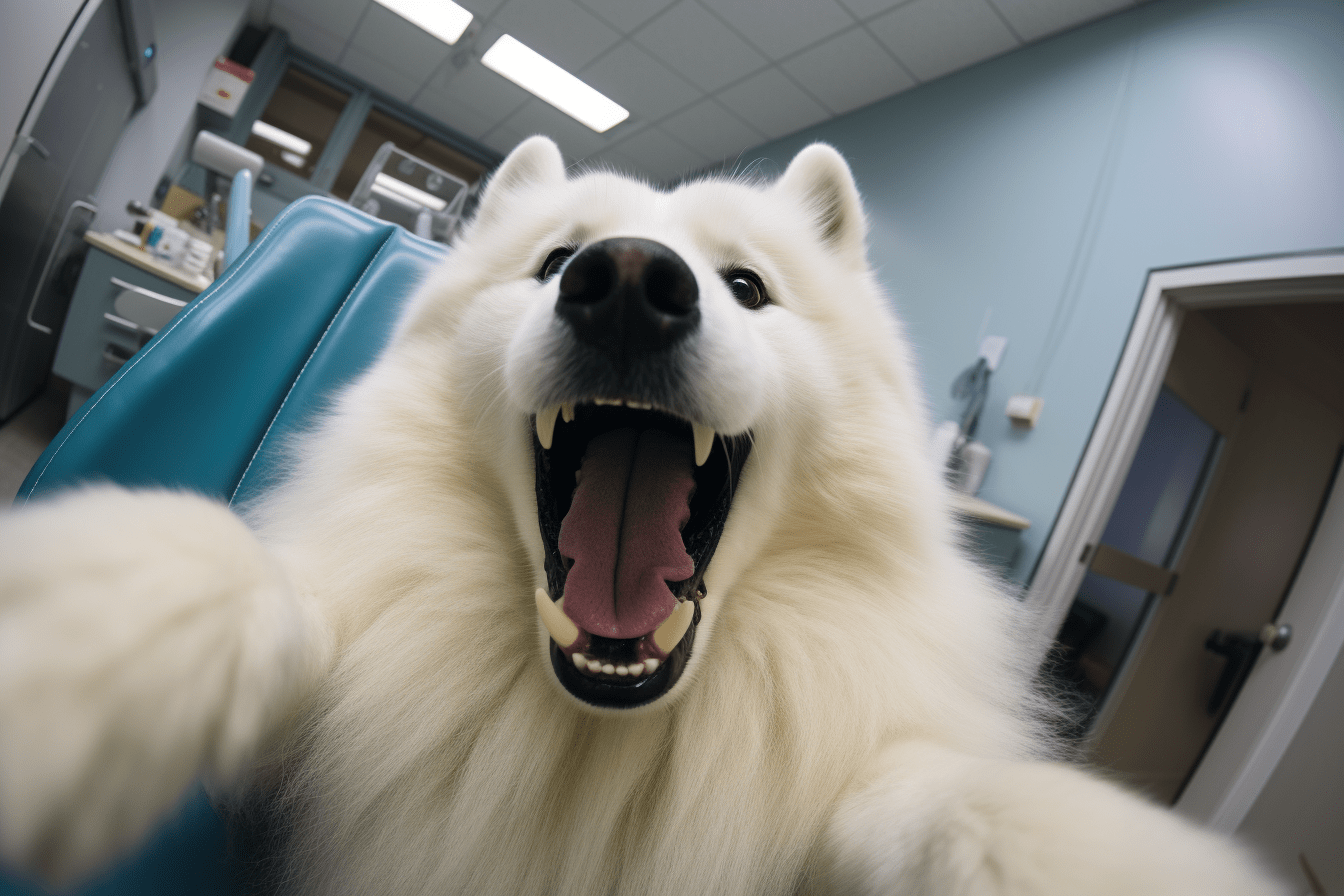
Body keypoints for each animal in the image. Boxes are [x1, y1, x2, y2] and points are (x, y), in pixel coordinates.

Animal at [0, 137, 1279, 891]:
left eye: (750, 284)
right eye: (554, 259)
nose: (624, 281)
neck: (601, 733)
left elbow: (948, 803)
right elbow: (228, 576)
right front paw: (81, 642)